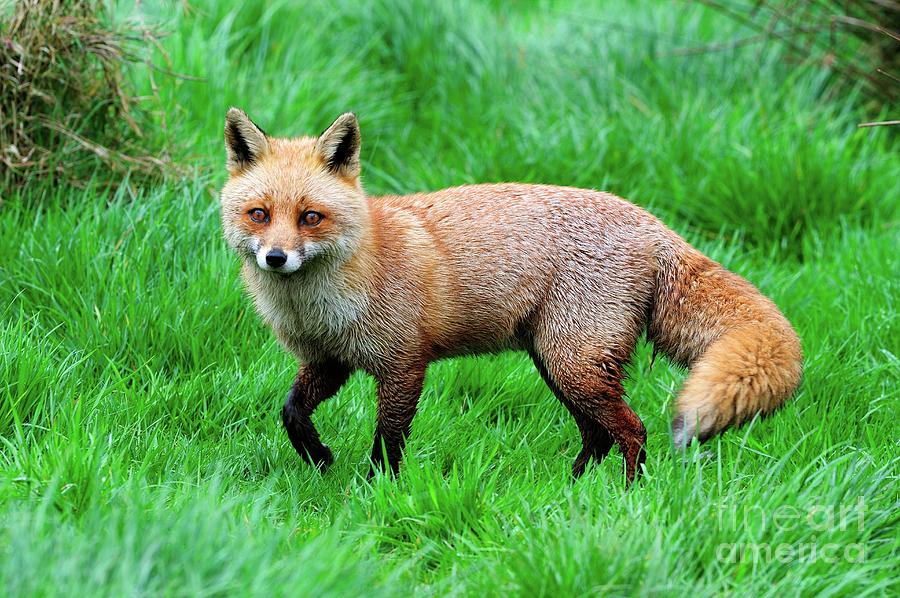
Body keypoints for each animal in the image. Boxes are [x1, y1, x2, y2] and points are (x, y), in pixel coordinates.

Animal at [218, 109, 800, 482]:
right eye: (259, 214)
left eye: (310, 218)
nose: (276, 258)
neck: (322, 304)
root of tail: (653, 224)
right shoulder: (328, 359)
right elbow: (291, 413)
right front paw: (319, 458)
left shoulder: (403, 363)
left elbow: (388, 442)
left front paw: (375, 493)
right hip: (561, 364)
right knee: (599, 437)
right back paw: (572, 493)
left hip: (573, 362)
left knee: (633, 432)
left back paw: (628, 496)